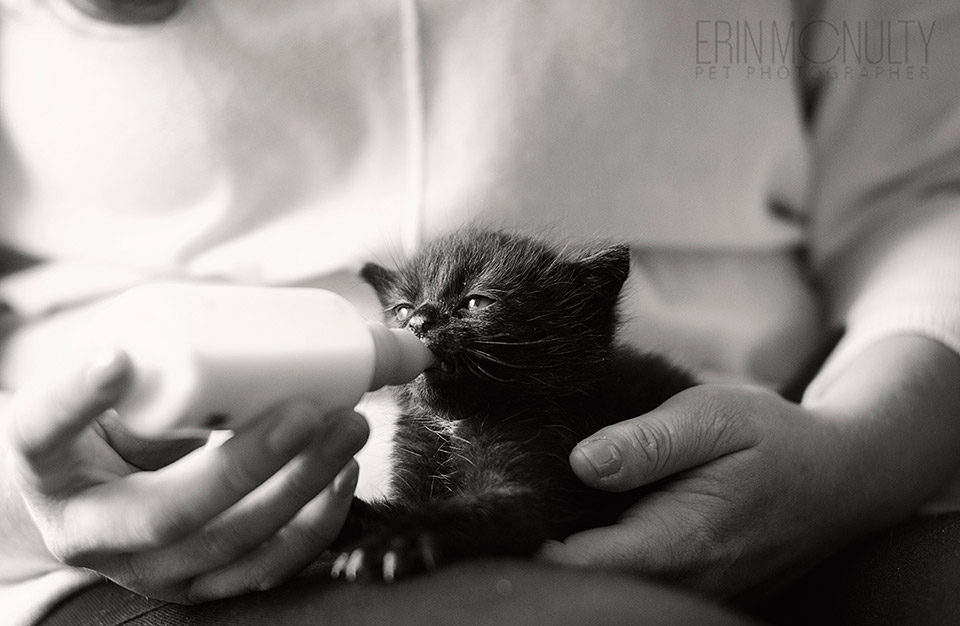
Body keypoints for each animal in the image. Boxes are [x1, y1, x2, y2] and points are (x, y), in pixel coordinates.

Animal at [326, 228, 692, 580]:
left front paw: (396, 542)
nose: (418, 322)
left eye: (476, 302)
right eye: (402, 309)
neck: (453, 422)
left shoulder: (528, 480)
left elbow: (469, 510)